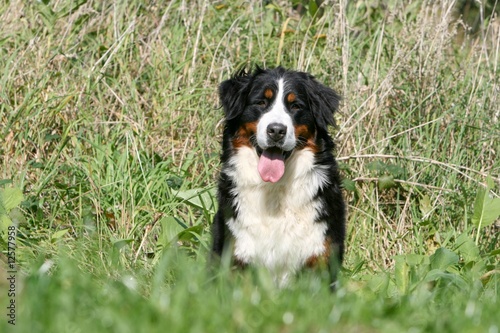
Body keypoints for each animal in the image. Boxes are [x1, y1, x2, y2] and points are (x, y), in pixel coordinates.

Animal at [210, 66, 344, 286]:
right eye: (261, 103)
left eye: (295, 106)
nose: (276, 130)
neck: (275, 190)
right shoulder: (238, 255)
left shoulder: (320, 257)